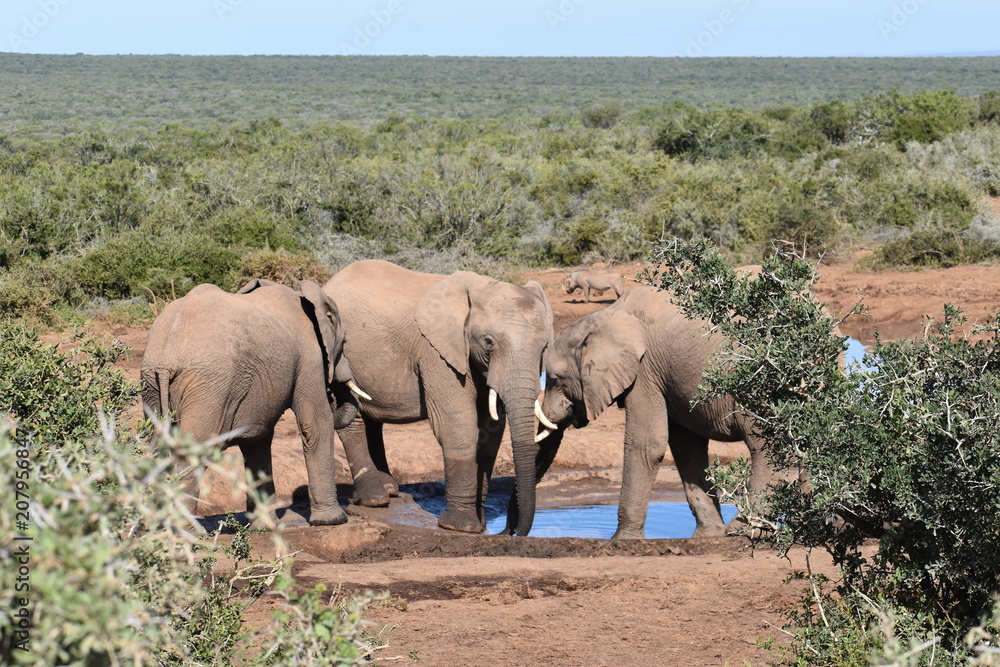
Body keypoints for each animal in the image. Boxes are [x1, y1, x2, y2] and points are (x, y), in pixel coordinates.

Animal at [141, 278, 363, 526]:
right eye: (344, 342)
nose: (333, 393)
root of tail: (167, 358)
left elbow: (257, 441)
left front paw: (265, 528)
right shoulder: (309, 357)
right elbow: (316, 425)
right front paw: (333, 520)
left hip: (151, 383)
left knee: (158, 451)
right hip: (208, 384)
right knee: (192, 452)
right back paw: (184, 531)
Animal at [322, 260, 554, 534]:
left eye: (545, 347)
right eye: (488, 342)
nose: (509, 532)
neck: (481, 287)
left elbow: (491, 432)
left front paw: (479, 525)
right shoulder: (435, 352)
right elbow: (458, 425)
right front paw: (461, 527)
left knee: (373, 419)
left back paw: (390, 488)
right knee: (353, 419)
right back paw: (375, 498)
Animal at [523, 281, 782, 539]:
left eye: (555, 380)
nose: (516, 533)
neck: (605, 316)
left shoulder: (644, 370)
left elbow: (647, 444)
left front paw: (621, 540)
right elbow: (687, 448)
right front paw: (708, 535)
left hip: (760, 386)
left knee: (765, 447)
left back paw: (743, 530)